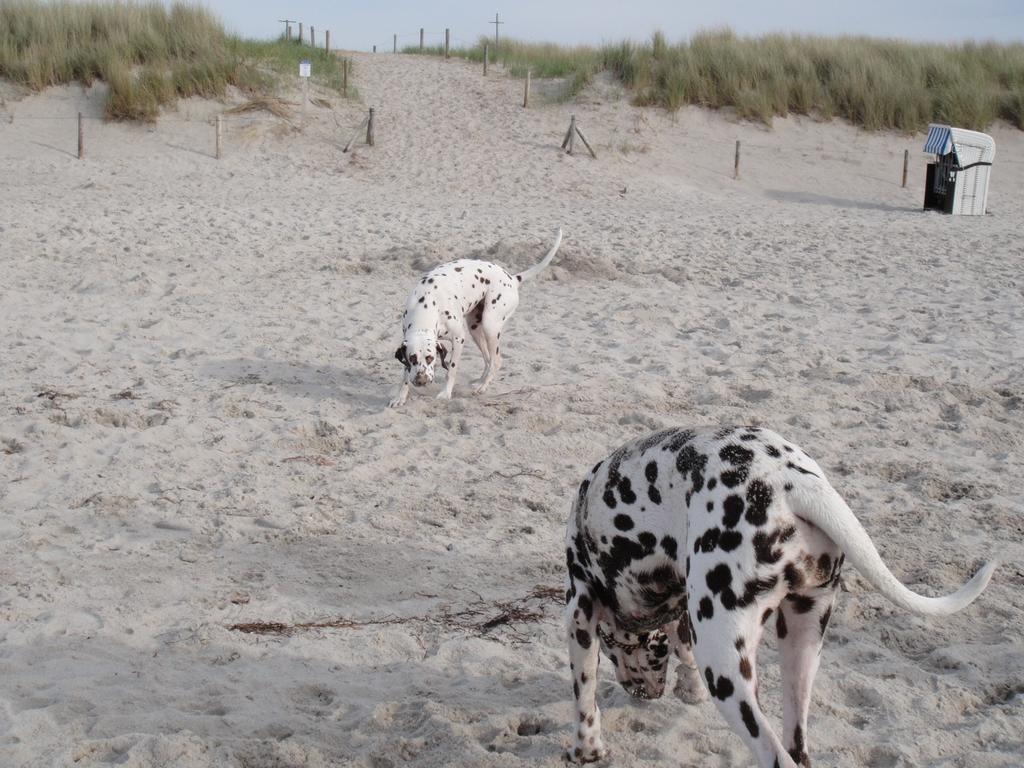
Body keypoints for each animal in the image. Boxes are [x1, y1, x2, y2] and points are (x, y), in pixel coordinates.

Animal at [391, 228, 569, 409]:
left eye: (430, 357)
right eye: (412, 358)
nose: (421, 381)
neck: (426, 305)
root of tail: (512, 278)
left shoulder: (459, 338)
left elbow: (451, 370)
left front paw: (446, 393)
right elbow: (405, 375)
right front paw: (400, 396)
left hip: (490, 325)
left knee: (496, 360)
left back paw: (483, 387)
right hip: (475, 327)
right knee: (488, 359)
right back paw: (480, 381)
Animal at [565, 428, 995, 768]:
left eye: (617, 647)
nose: (645, 694)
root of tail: (792, 482)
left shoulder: (579, 613)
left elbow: (585, 695)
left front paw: (587, 749)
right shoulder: (682, 611)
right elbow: (682, 650)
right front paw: (688, 690)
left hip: (725, 668)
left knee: (776, 756)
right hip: (800, 644)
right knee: (797, 750)